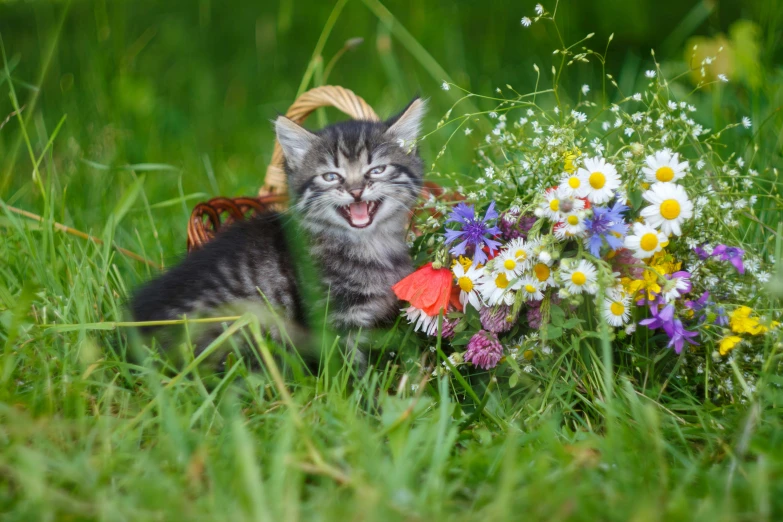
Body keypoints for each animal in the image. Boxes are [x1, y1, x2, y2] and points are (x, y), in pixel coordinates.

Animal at [132, 98, 426, 366]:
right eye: (331, 176)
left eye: (377, 170)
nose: (356, 191)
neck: (368, 244)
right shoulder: (333, 317)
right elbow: (347, 365)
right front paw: (360, 387)